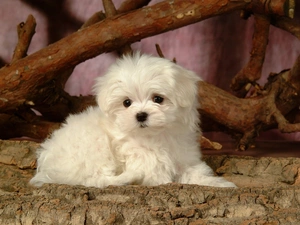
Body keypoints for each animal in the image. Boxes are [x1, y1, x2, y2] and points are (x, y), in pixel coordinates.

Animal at [30, 52, 237, 188]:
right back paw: (128, 177)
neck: (156, 135)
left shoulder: (182, 155)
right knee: (96, 179)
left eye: (158, 99)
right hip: (93, 146)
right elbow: (155, 172)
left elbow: (194, 171)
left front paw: (218, 183)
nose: (141, 115)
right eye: (126, 103)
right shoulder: (138, 154)